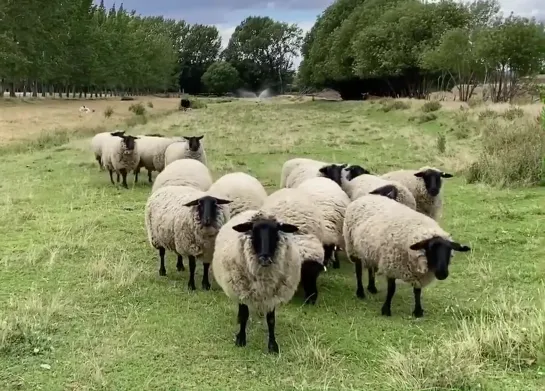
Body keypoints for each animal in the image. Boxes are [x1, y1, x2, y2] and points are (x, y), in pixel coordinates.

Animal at [210, 211, 300, 356]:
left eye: (275, 232)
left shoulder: (272, 296)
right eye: (254, 231)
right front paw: (241, 339)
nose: (265, 259)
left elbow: (271, 320)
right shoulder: (241, 291)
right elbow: (244, 316)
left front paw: (273, 345)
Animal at [342, 185, 470, 318]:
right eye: (430, 249)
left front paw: (418, 311)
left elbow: (417, 291)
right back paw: (360, 292)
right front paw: (386, 310)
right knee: (358, 271)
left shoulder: (416, 273)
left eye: (449, 251)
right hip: (353, 247)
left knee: (371, 268)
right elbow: (391, 290)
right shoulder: (391, 266)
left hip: (369, 250)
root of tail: (369, 196)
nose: (442, 274)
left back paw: (372, 288)